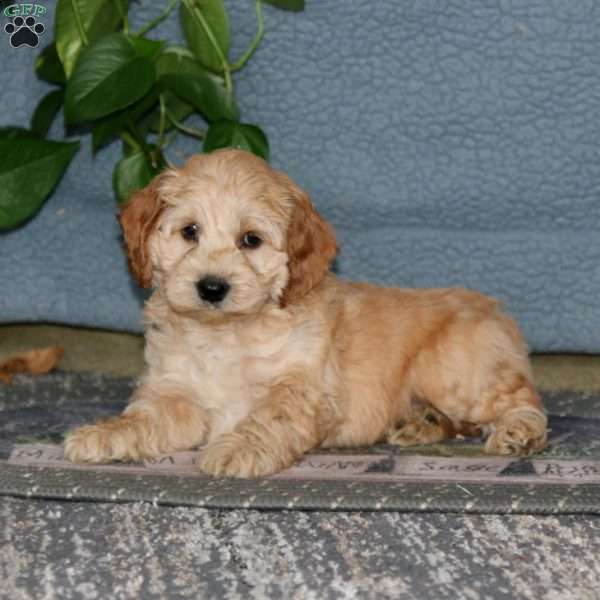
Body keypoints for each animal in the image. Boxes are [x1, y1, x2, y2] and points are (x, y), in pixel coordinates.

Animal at [63, 150, 548, 478]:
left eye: (251, 240)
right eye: (189, 231)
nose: (212, 287)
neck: (225, 334)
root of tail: (496, 311)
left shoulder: (304, 389)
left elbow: (268, 416)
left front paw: (238, 449)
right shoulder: (176, 391)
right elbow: (146, 417)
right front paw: (103, 434)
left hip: (455, 373)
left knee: (522, 401)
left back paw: (517, 433)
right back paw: (420, 424)